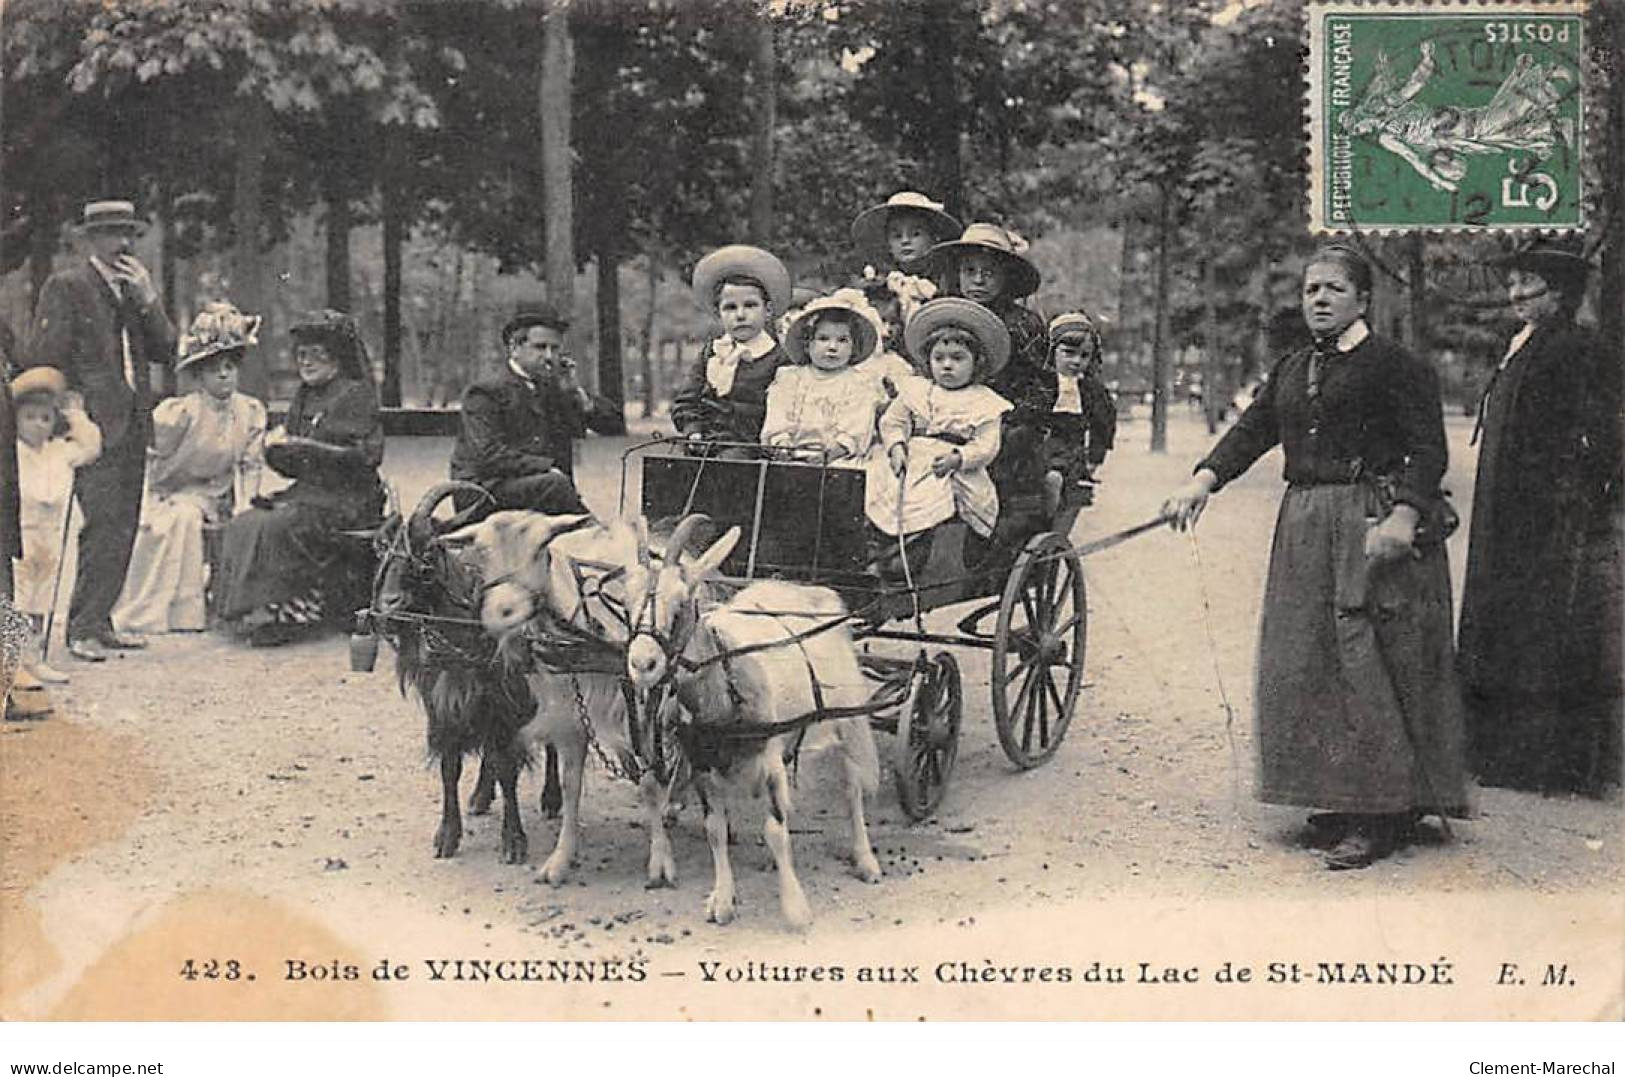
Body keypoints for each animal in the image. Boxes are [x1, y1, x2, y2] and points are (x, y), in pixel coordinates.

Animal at [372, 484, 562, 864]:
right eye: (381, 547)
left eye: (429, 549)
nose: (390, 606)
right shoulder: (444, 705)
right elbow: (450, 768)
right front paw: (447, 835)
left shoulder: (505, 701)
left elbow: (507, 769)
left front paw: (513, 840)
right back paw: (480, 796)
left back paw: (552, 798)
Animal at [445, 510, 705, 890]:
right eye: (481, 552)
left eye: (542, 549)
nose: (503, 611)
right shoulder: (572, 720)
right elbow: (570, 786)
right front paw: (560, 859)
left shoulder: (638, 709)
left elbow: (648, 783)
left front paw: (661, 861)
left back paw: (677, 799)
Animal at [620, 526, 884, 929]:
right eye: (625, 606)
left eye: (681, 606)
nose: (642, 664)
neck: (725, 685)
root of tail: (812, 592)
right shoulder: (702, 766)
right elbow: (715, 831)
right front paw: (722, 902)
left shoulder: (771, 761)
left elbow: (775, 830)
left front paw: (795, 908)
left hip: (845, 717)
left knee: (851, 787)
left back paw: (865, 860)